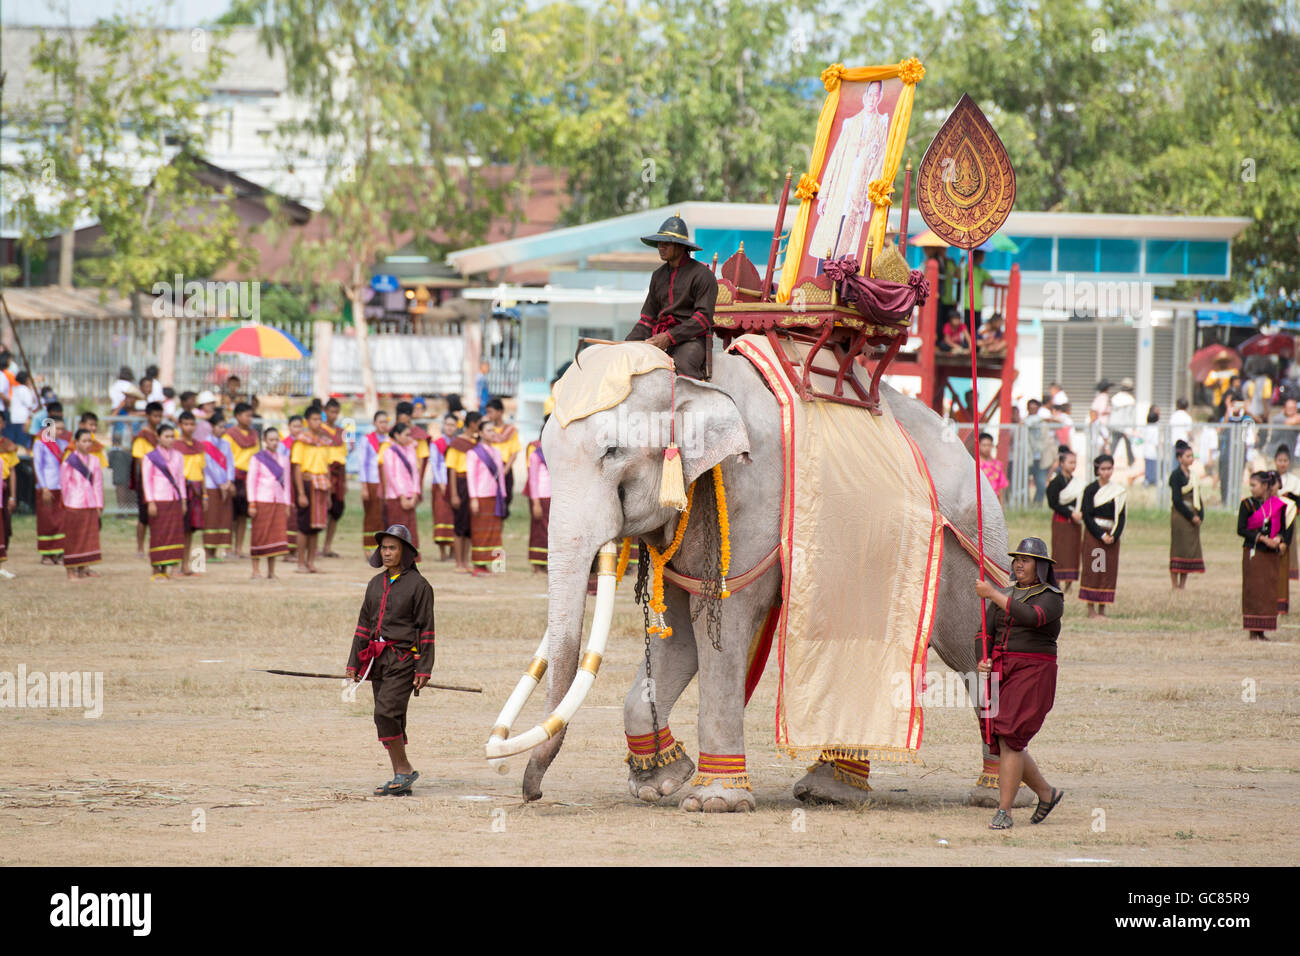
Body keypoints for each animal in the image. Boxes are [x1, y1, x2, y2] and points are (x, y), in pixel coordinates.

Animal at [517, 345, 1013, 816]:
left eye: (613, 452)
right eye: (545, 453)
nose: (531, 794)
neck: (692, 379)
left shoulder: (748, 498)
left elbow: (720, 630)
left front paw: (715, 801)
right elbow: (681, 635)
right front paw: (663, 782)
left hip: (971, 547)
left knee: (972, 649)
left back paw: (993, 793)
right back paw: (830, 790)